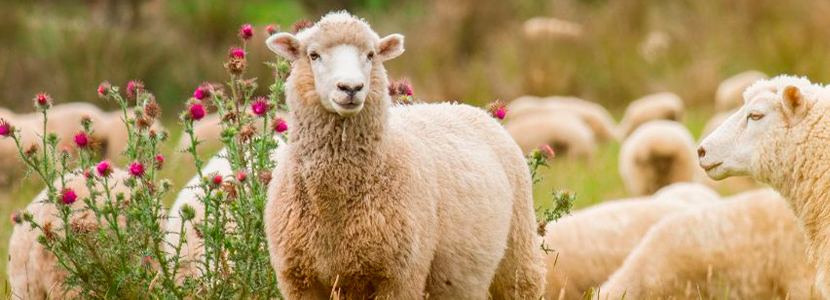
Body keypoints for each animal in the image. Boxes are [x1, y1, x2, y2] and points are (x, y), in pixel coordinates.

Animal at [262, 11, 544, 298]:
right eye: (313, 55)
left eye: (371, 55)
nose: (350, 88)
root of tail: (466, 107)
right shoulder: (299, 280)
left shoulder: (400, 277)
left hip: (518, 257)